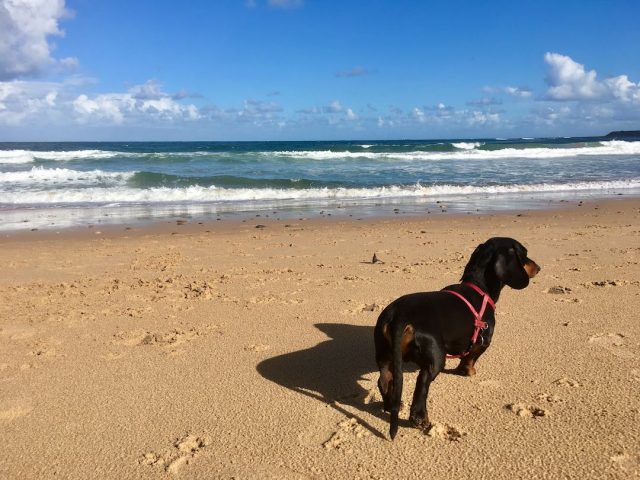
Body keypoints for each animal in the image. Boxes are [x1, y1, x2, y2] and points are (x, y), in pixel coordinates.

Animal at [372, 236, 544, 438]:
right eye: (523, 253)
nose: (539, 267)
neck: (479, 287)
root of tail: (399, 314)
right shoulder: (483, 341)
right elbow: (470, 357)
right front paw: (468, 371)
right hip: (435, 358)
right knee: (422, 383)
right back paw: (420, 419)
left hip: (384, 354)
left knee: (384, 380)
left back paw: (390, 405)